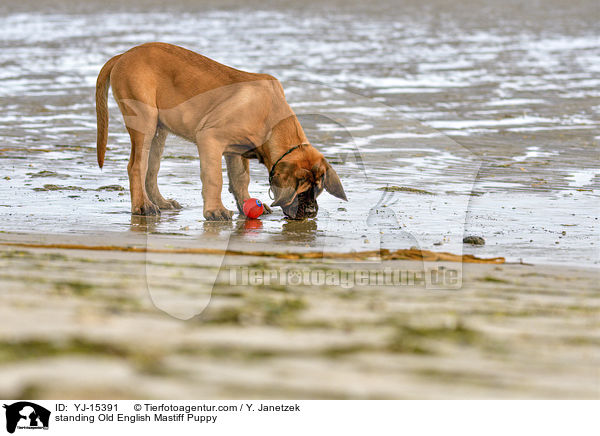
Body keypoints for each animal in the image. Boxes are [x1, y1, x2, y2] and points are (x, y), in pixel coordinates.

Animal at [95, 42, 346, 220]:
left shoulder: (236, 151)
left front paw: (246, 204)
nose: (311, 212)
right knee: (136, 166)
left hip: (158, 130)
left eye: (318, 190)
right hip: (144, 121)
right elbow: (214, 177)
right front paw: (215, 211)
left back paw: (161, 202)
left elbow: (240, 179)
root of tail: (123, 55)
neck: (269, 115)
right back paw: (143, 206)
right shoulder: (210, 138)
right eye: (300, 191)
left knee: (151, 168)